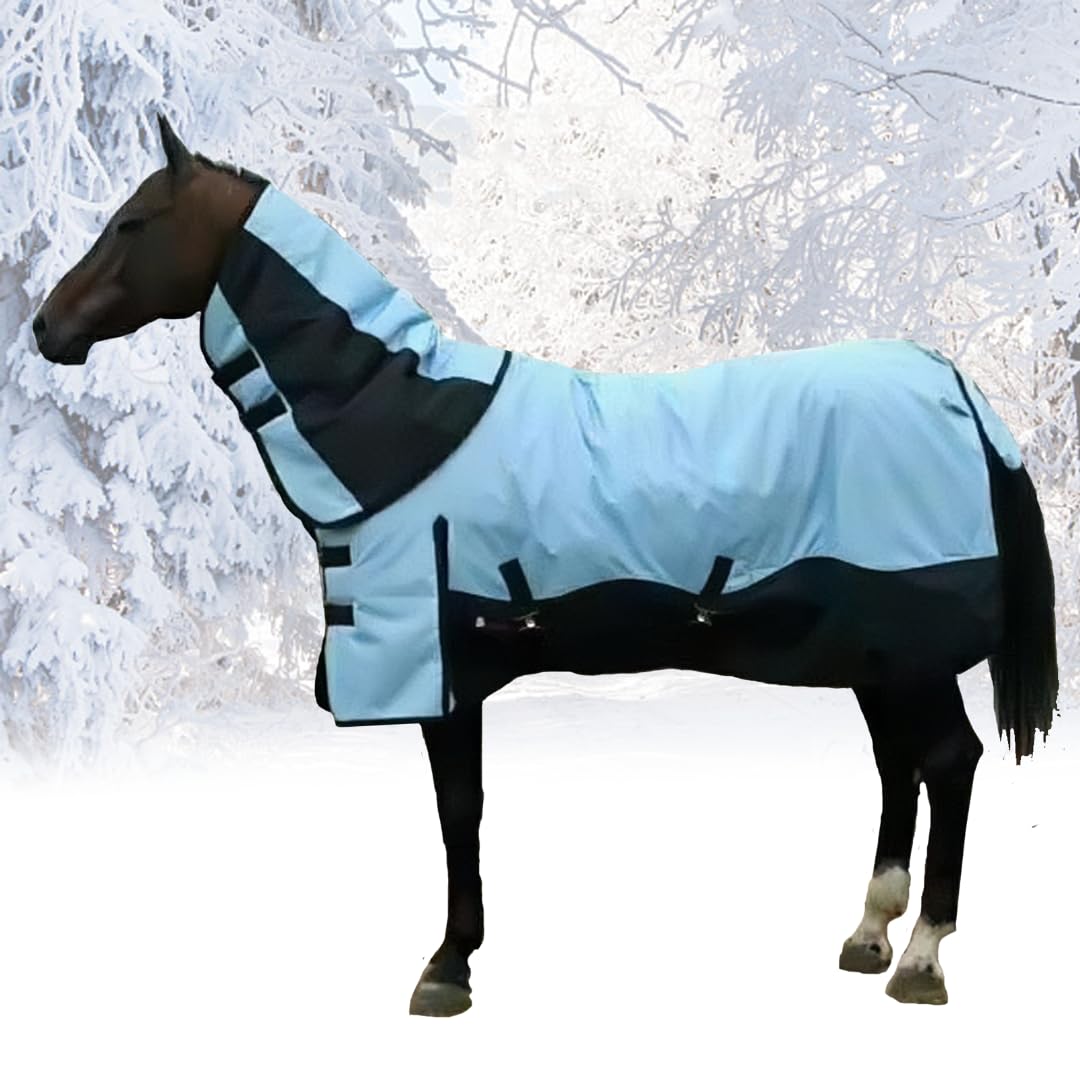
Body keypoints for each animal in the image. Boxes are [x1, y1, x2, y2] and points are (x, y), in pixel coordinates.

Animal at [33, 114, 1058, 1016]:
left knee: (948, 762)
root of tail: (959, 389)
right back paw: (868, 935)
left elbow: (458, 811)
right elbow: (465, 812)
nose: (46, 328)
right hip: (879, 654)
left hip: (907, 649)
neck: (406, 424)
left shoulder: (444, 671)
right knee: (900, 765)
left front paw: (447, 966)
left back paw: (921, 958)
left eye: (133, 222)